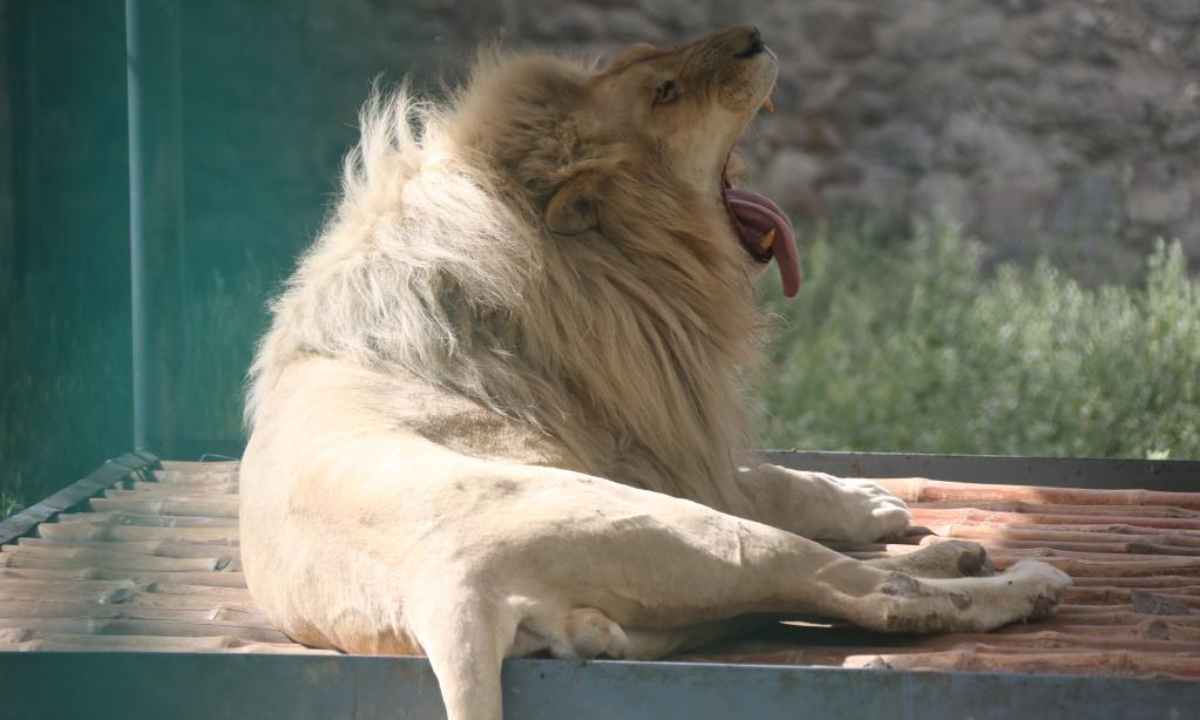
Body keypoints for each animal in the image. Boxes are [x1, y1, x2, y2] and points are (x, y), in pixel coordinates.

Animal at [241, 26, 1070, 720]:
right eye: (665, 92)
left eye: (640, 60)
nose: (753, 37)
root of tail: (442, 597)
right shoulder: (655, 450)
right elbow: (770, 480)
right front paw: (864, 500)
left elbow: (766, 478)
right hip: (687, 533)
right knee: (873, 593)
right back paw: (1022, 582)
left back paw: (956, 553)